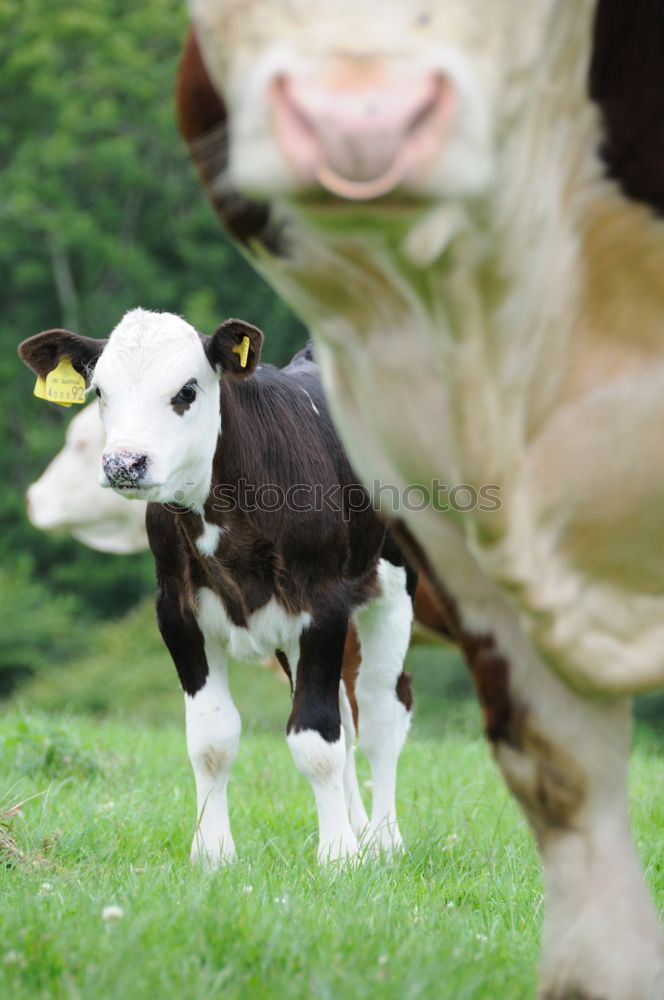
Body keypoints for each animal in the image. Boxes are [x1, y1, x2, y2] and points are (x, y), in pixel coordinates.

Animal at [19, 312, 416, 868]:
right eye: (100, 391)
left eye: (187, 390)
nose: (124, 463)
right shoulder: (178, 614)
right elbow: (212, 739)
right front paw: (212, 854)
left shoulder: (322, 606)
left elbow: (316, 738)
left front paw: (337, 857)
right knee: (347, 715)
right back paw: (361, 830)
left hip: (393, 589)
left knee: (381, 712)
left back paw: (382, 840)